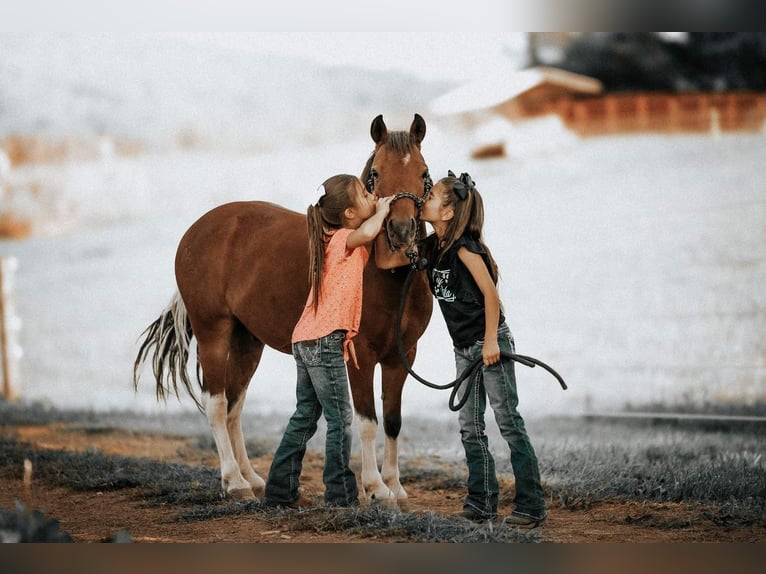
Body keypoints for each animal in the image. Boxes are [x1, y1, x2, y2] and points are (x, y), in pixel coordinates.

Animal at [135, 115, 436, 510]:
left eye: (423, 173)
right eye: (375, 174)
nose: (401, 231)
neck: (387, 276)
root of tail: (198, 231)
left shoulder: (402, 356)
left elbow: (393, 421)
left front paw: (396, 488)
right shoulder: (361, 355)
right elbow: (368, 421)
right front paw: (375, 488)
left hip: (247, 342)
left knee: (234, 406)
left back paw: (252, 478)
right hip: (213, 333)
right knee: (216, 404)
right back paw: (233, 482)